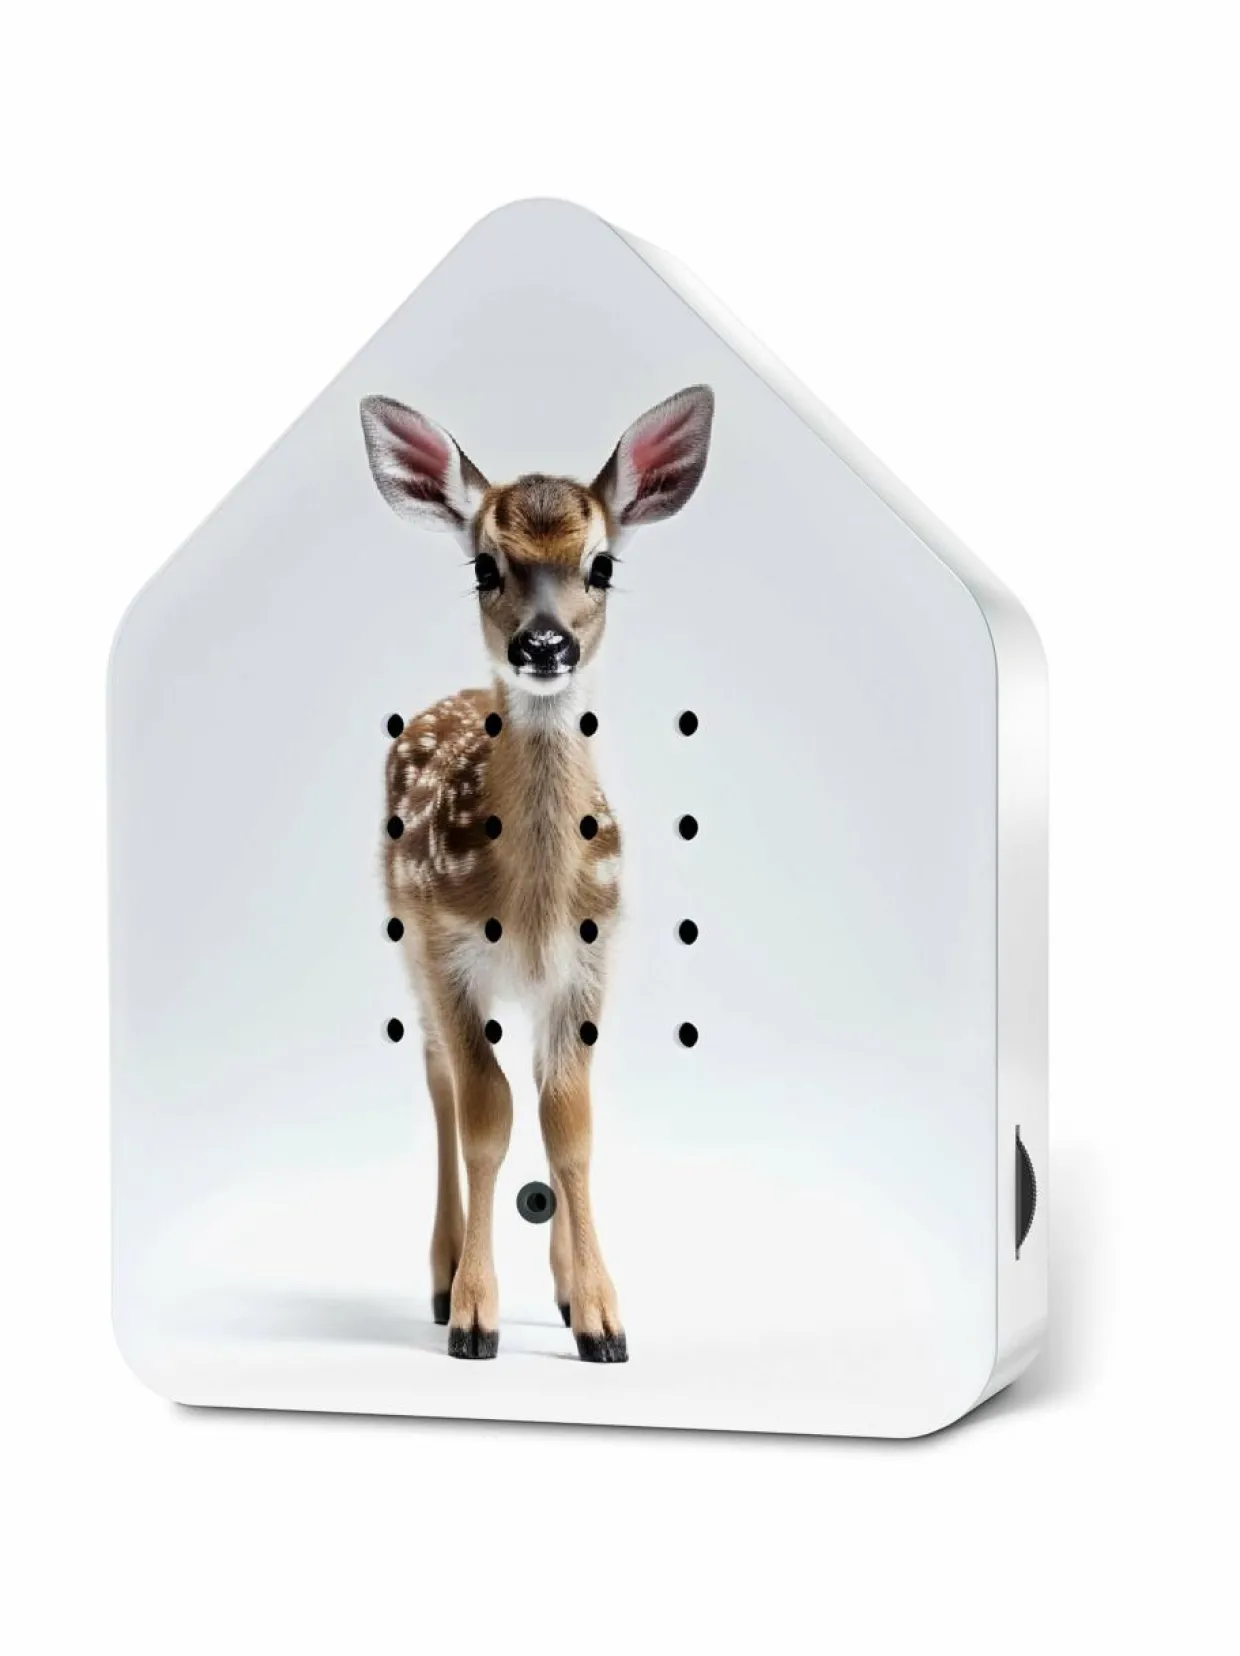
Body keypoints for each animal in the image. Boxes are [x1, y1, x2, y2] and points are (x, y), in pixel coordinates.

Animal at [360, 385, 714, 1361]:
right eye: (486, 566)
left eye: (602, 565)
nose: (545, 644)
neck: (531, 905)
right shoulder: (446, 950)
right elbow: (486, 1117)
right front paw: (475, 1317)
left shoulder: (588, 965)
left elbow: (568, 1123)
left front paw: (598, 1315)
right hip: (410, 947)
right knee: (442, 1081)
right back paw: (443, 1276)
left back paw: (554, 1285)